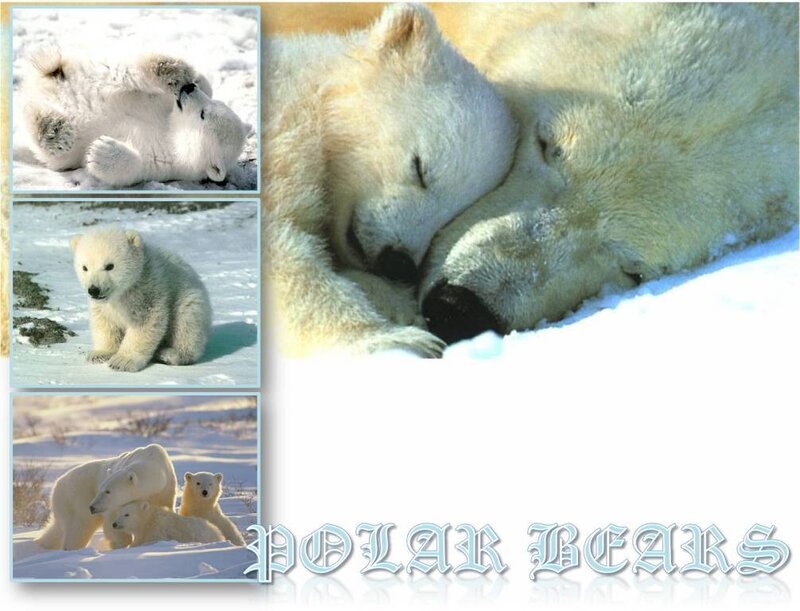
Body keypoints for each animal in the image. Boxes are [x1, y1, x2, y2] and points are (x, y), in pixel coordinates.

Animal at [20, 46, 252, 188]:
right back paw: (172, 70)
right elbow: (205, 86)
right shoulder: (163, 104)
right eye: (212, 106)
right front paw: (192, 79)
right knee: (126, 72)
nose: (188, 89)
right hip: (97, 73)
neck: (170, 130)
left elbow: (135, 167)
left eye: (203, 114)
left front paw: (100, 151)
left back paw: (54, 131)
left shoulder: (167, 163)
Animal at [35, 444, 178, 551]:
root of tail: (57, 484)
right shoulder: (114, 506)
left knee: (58, 529)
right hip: (77, 497)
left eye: (107, 491)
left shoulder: (166, 490)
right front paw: (121, 544)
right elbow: (112, 522)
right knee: (79, 528)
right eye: (100, 489)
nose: (92, 507)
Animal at [70, 227, 212, 372]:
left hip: (188, 299)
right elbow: (105, 322)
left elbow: (144, 322)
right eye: (85, 267)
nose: (94, 290)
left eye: (109, 266)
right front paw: (99, 354)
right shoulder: (104, 305)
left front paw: (122, 361)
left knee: (186, 325)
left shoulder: (147, 289)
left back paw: (169, 354)